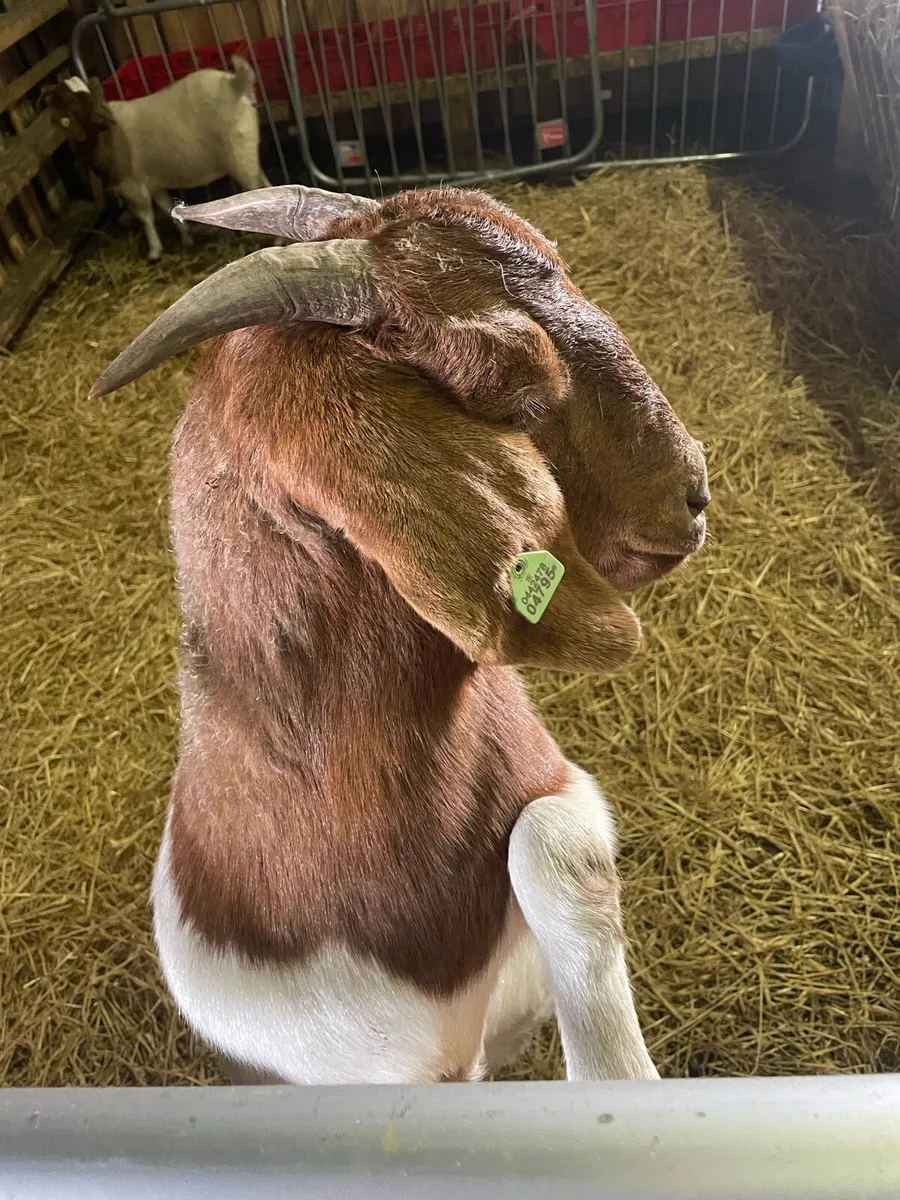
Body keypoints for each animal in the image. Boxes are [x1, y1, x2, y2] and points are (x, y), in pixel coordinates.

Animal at [47, 62, 270, 262]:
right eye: (71, 102)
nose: (102, 116)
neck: (106, 135)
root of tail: (235, 82)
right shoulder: (153, 183)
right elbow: (167, 208)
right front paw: (186, 238)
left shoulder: (132, 185)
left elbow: (145, 217)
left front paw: (154, 252)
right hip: (246, 153)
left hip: (239, 156)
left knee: (259, 188)